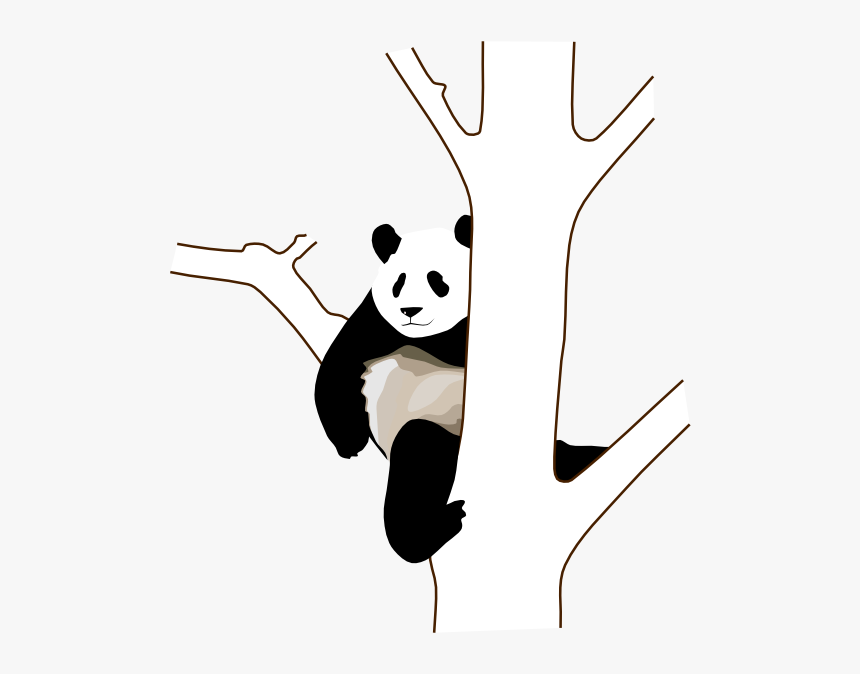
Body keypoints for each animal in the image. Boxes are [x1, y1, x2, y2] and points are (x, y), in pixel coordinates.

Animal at [314, 215, 606, 564]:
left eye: (437, 280)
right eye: (398, 283)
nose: (410, 311)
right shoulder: (374, 322)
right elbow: (337, 367)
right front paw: (349, 442)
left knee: (569, 454)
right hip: (432, 435)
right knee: (416, 463)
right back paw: (435, 528)